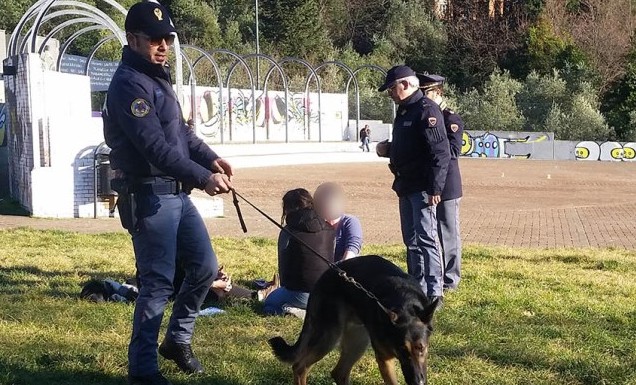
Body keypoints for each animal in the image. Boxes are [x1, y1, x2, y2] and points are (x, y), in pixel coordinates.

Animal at [268, 255, 438, 384]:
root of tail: (322, 278)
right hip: (329, 337)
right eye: (401, 350)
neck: (404, 303)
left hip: (358, 341)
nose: (417, 382)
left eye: (421, 348)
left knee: (339, 373)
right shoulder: (384, 359)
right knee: (299, 367)